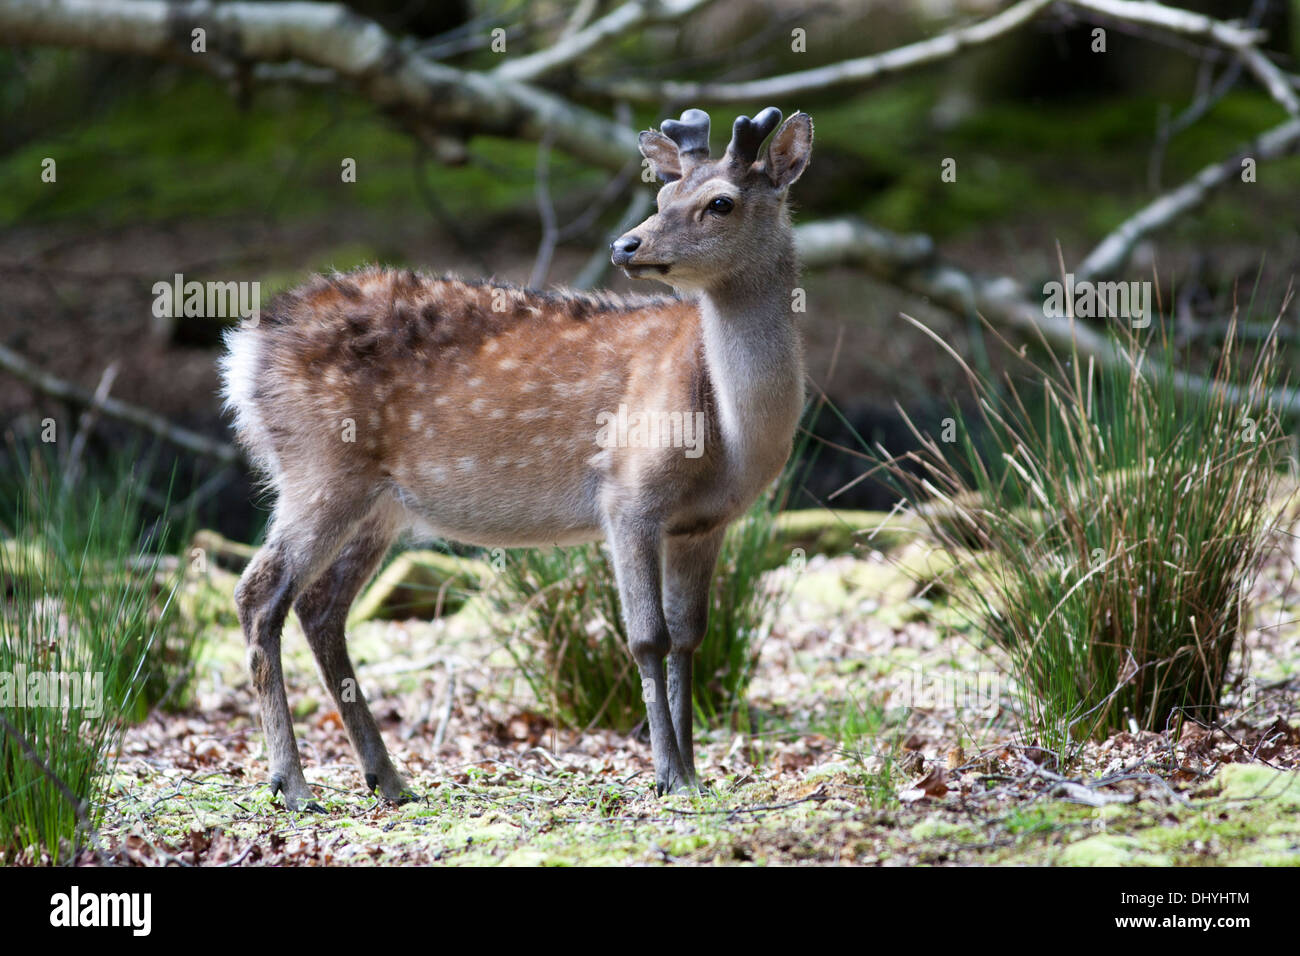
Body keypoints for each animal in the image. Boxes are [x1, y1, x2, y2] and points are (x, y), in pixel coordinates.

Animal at [222, 104, 811, 806]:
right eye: (663, 196)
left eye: (720, 202)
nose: (627, 245)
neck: (729, 436)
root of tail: (244, 351)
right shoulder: (628, 495)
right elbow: (647, 637)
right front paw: (668, 775)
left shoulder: (705, 523)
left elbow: (691, 638)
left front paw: (694, 772)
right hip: (318, 468)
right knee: (259, 592)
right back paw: (293, 782)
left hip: (377, 503)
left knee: (320, 607)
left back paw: (388, 778)